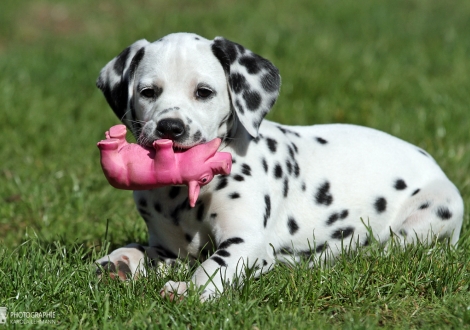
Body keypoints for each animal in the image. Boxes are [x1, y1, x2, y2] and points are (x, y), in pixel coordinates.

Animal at [94, 32, 462, 300]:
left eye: (204, 92)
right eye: (148, 91)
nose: (170, 128)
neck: (182, 195)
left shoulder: (247, 243)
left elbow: (214, 266)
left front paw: (190, 289)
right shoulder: (170, 247)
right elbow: (148, 252)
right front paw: (122, 261)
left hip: (430, 214)